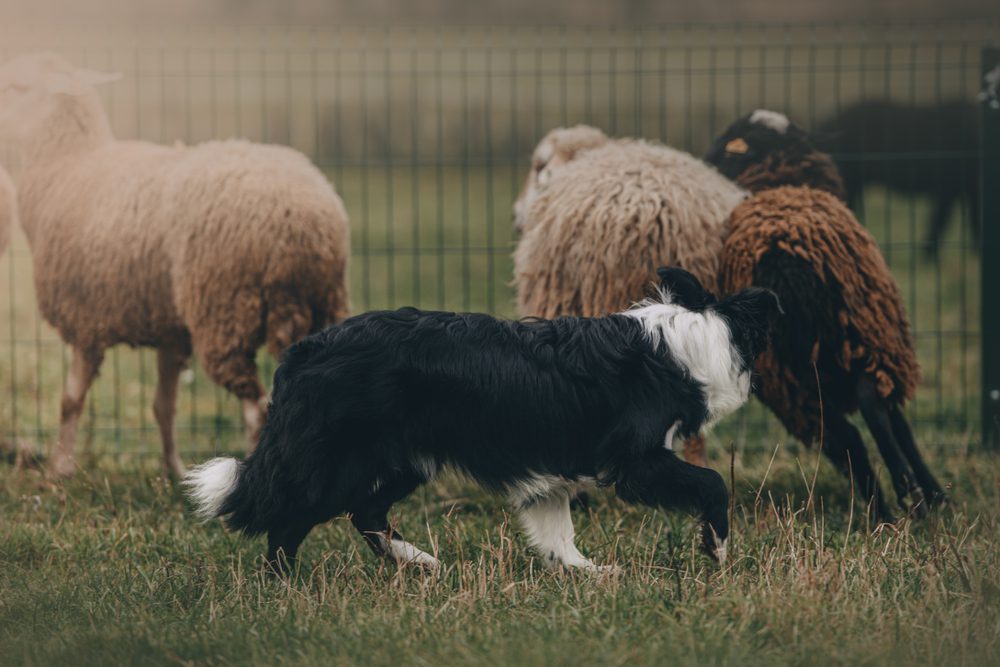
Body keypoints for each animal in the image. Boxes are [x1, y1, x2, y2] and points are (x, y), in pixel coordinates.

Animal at [0, 53, 351, 479]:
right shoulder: (169, 331)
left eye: (17, 88)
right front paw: (175, 472)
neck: (67, 165)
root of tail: (307, 224)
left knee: (256, 411)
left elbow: (71, 402)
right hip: (324, 307)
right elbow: (163, 407)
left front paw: (58, 471)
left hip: (224, 313)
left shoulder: (85, 319)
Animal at [705, 109, 945, 522]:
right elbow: (899, 423)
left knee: (852, 428)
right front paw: (934, 492)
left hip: (809, 363)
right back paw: (899, 501)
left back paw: (892, 504)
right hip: (861, 335)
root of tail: (786, 262)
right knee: (869, 407)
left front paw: (932, 493)